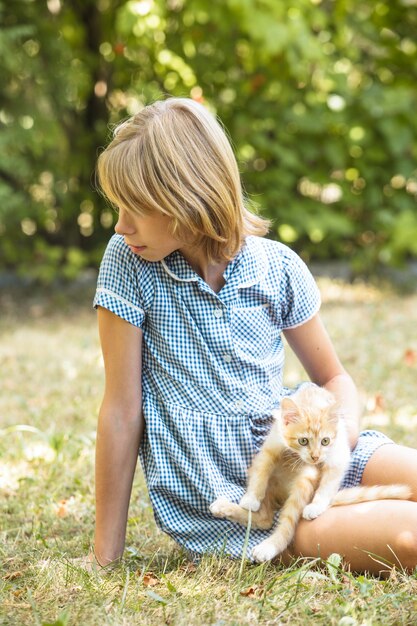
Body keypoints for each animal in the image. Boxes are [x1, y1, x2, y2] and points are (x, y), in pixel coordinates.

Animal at [210, 380, 408, 560]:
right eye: (303, 441)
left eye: (325, 441)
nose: (315, 456)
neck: (312, 402)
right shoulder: (271, 445)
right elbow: (261, 470)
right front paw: (251, 498)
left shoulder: (338, 454)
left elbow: (328, 483)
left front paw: (316, 505)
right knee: (265, 519)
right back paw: (224, 508)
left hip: (306, 478)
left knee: (285, 524)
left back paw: (268, 546)